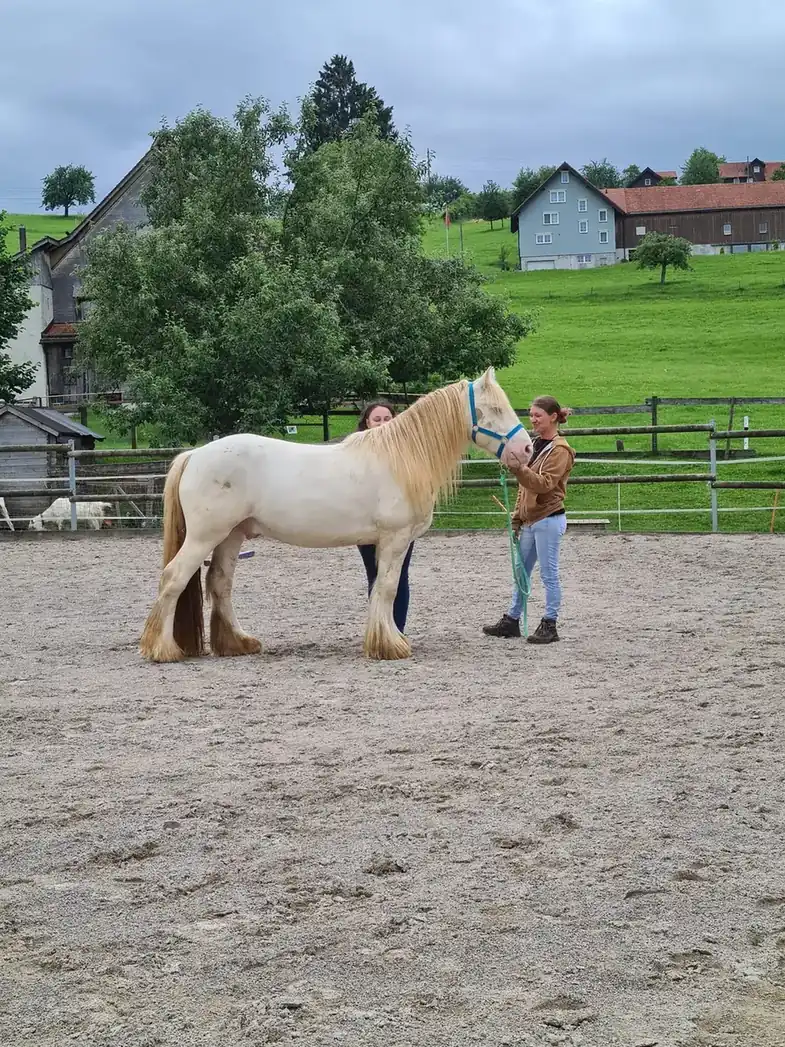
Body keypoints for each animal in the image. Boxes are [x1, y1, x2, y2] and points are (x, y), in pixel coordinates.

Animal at [139, 367, 532, 664]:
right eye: (494, 409)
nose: (527, 448)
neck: (401, 458)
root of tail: (195, 454)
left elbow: (382, 589)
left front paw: (385, 640)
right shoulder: (395, 539)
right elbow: (387, 589)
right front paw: (389, 646)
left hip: (231, 537)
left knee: (220, 585)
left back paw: (239, 643)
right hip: (205, 536)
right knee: (173, 578)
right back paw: (162, 649)